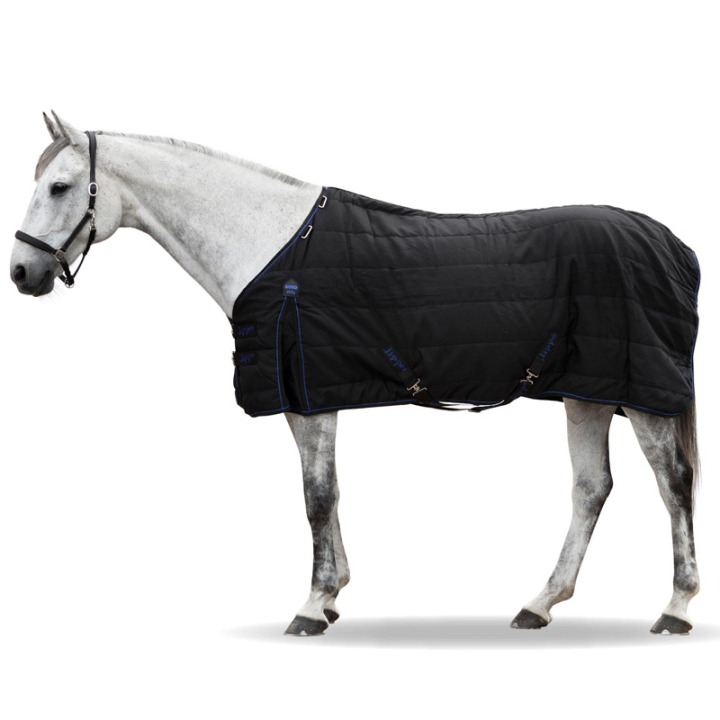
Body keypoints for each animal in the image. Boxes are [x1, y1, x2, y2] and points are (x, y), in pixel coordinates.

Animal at [10, 113, 700, 636]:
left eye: (61, 187)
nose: (21, 272)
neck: (271, 247)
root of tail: (671, 244)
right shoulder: (306, 395)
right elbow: (329, 493)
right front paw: (335, 592)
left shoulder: (310, 395)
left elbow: (315, 497)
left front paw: (312, 607)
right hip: (588, 393)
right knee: (591, 488)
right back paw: (539, 604)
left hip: (643, 396)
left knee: (673, 484)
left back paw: (675, 608)